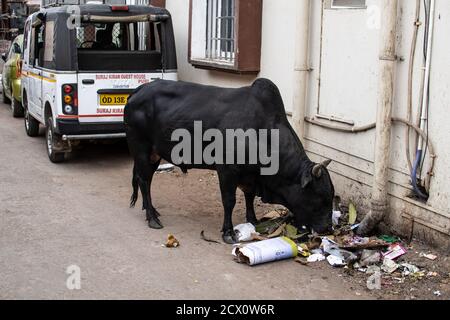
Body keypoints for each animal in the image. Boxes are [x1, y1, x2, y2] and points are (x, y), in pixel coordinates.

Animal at [123, 79, 334, 244]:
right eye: (321, 197)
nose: (328, 229)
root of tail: (139, 90)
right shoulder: (227, 170)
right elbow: (229, 201)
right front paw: (228, 232)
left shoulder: (249, 175)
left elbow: (249, 197)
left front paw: (253, 220)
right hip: (142, 150)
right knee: (144, 181)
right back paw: (152, 218)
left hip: (154, 155)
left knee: (146, 181)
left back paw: (152, 210)